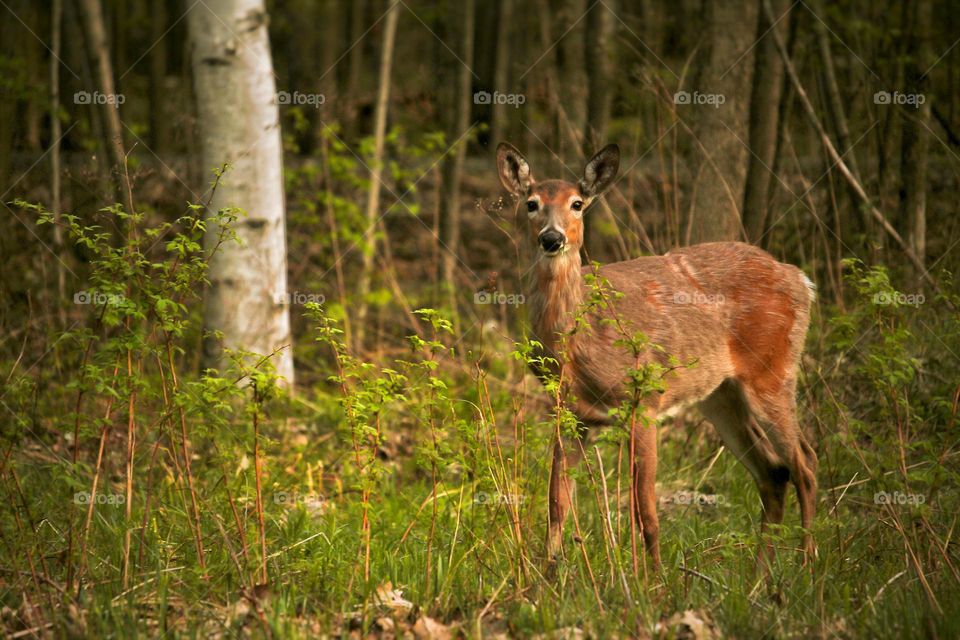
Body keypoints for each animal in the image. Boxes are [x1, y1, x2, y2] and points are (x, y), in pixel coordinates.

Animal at [495, 142, 818, 569]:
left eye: (577, 204)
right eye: (531, 204)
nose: (552, 238)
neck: (578, 344)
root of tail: (802, 280)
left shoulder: (643, 401)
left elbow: (645, 509)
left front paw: (653, 580)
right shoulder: (571, 412)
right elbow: (556, 501)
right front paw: (548, 574)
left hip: (773, 370)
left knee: (805, 463)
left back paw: (807, 564)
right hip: (721, 395)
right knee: (774, 472)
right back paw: (761, 575)